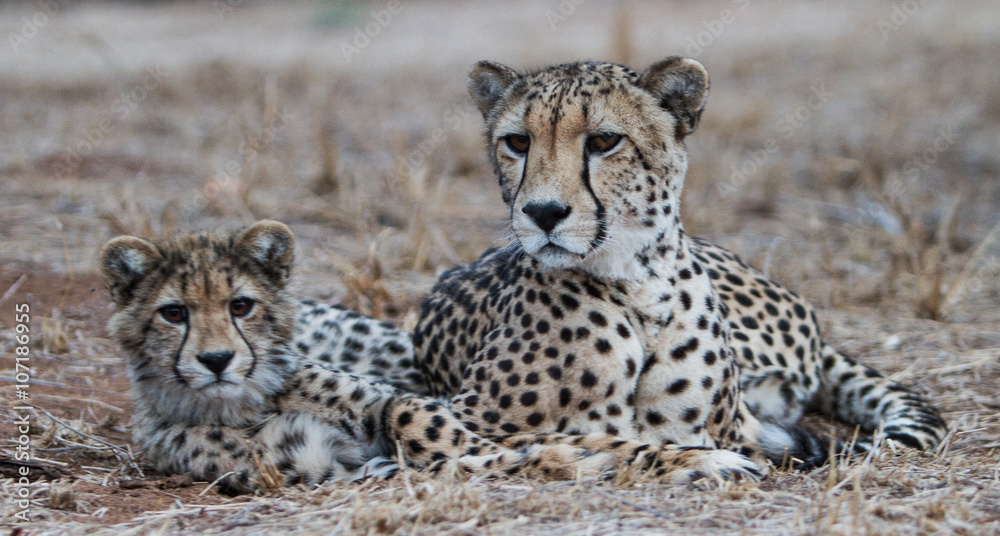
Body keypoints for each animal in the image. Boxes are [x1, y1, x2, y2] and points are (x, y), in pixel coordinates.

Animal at [99, 220, 614, 494]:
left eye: (240, 306)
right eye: (174, 313)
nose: (217, 359)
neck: (245, 401)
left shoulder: (403, 404)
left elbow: (423, 422)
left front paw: (588, 455)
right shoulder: (338, 470)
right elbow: (462, 463)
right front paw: (569, 462)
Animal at [408, 57, 947, 479]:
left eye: (604, 141)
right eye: (518, 142)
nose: (542, 212)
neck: (635, 285)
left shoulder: (729, 427)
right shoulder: (458, 420)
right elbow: (580, 442)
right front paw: (691, 463)